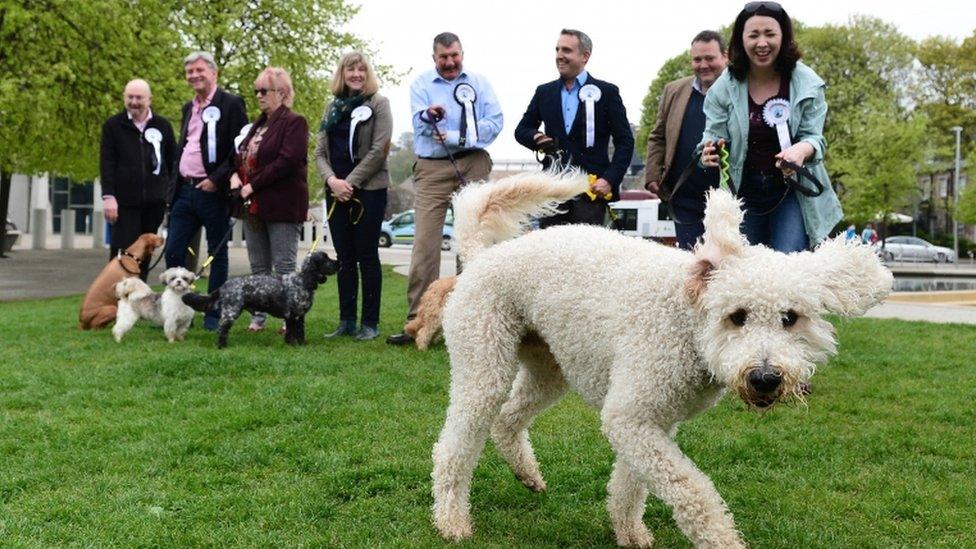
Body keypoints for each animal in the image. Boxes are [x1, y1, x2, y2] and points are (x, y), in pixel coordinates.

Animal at [183, 249, 340, 346]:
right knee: (222, 329)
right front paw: (292, 345)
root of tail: (224, 285)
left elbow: (300, 332)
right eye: (325, 258)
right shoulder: (291, 315)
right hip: (231, 311)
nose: (339, 262)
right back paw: (222, 346)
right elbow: (290, 332)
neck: (302, 280)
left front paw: (301, 344)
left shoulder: (300, 316)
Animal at [428, 174, 892, 548]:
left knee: (508, 419)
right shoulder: (631, 416)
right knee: (454, 446)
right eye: (737, 316)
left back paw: (527, 474)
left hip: (550, 366)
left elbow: (632, 484)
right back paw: (452, 520)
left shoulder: (655, 419)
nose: (765, 378)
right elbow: (690, 489)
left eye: (790, 318)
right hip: (484, 360)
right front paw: (722, 540)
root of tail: (480, 256)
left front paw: (629, 531)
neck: (686, 319)